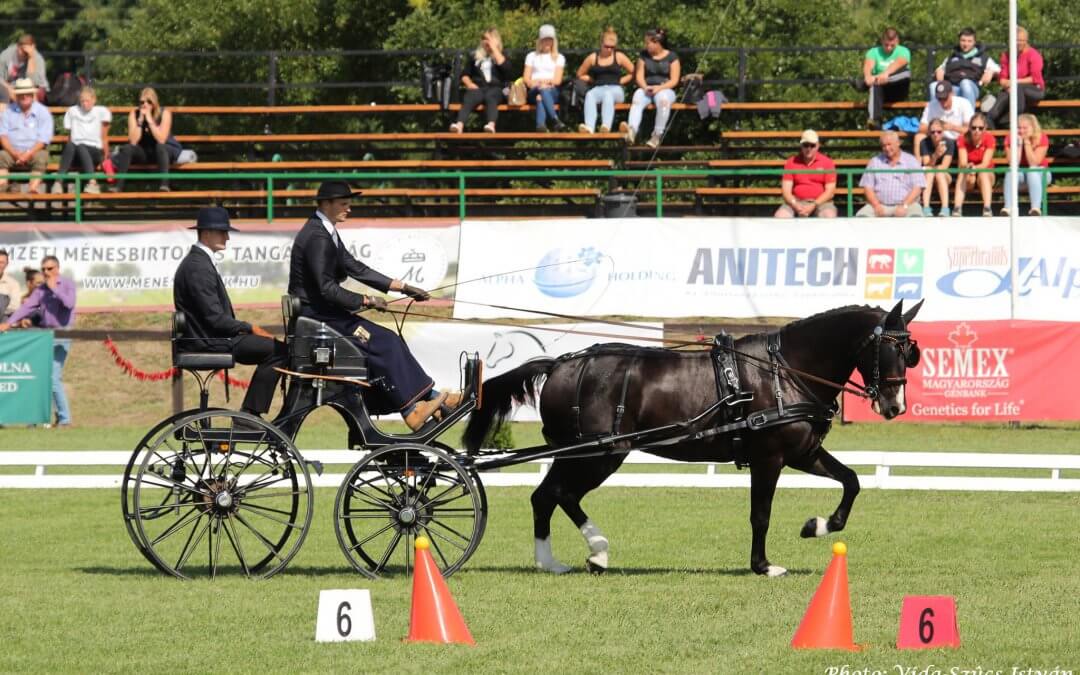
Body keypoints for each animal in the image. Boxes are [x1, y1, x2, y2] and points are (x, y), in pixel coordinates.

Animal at [463, 301, 923, 576]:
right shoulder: (769, 457)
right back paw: (591, 552)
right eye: (890, 349)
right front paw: (763, 565)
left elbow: (852, 481)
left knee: (548, 496)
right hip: (598, 454)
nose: (894, 405)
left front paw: (817, 526)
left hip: (582, 454)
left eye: (910, 351)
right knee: (558, 494)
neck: (785, 370)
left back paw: (563, 559)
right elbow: (760, 514)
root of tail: (560, 363)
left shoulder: (803, 453)